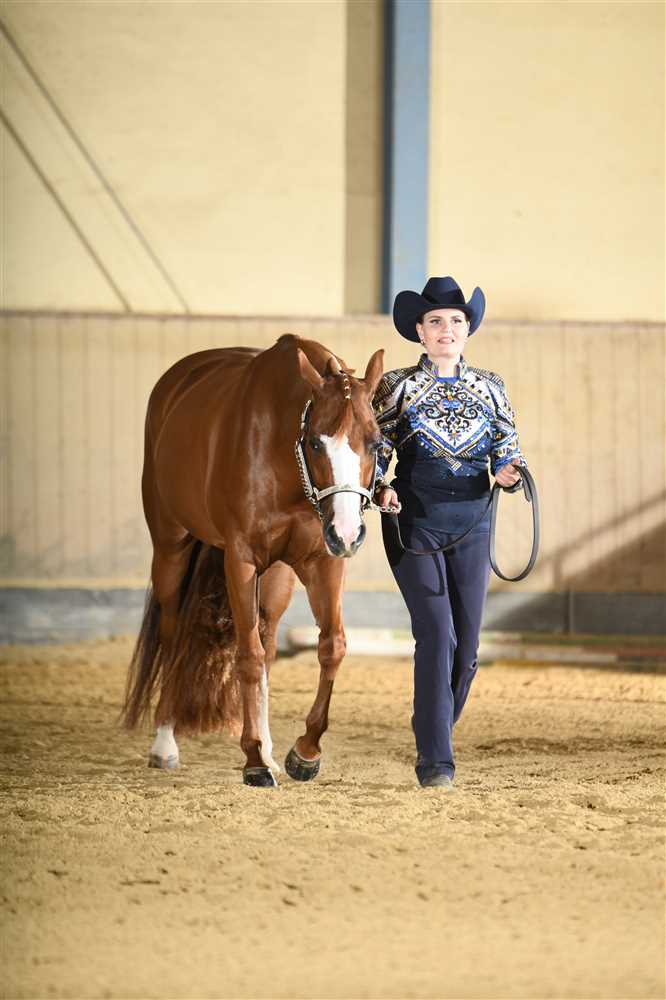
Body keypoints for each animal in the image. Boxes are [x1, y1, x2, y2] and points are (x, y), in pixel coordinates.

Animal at [122, 334, 384, 787]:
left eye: (375, 441)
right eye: (316, 442)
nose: (348, 532)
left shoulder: (323, 561)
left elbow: (331, 646)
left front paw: (304, 752)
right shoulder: (240, 560)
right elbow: (247, 658)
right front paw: (252, 760)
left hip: (277, 577)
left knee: (268, 640)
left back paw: (270, 749)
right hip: (171, 549)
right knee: (174, 636)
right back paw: (166, 743)